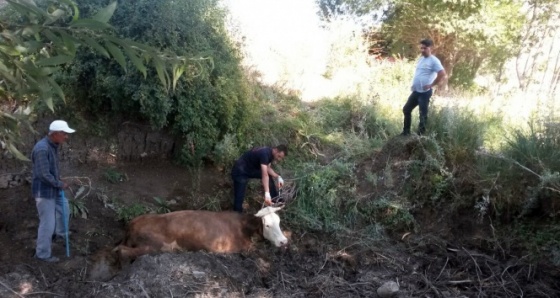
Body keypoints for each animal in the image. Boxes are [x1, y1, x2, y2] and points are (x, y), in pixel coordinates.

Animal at [114, 206, 288, 260]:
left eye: (279, 222)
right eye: (267, 225)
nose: (284, 241)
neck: (243, 226)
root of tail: (131, 223)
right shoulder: (238, 248)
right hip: (153, 246)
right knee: (121, 251)